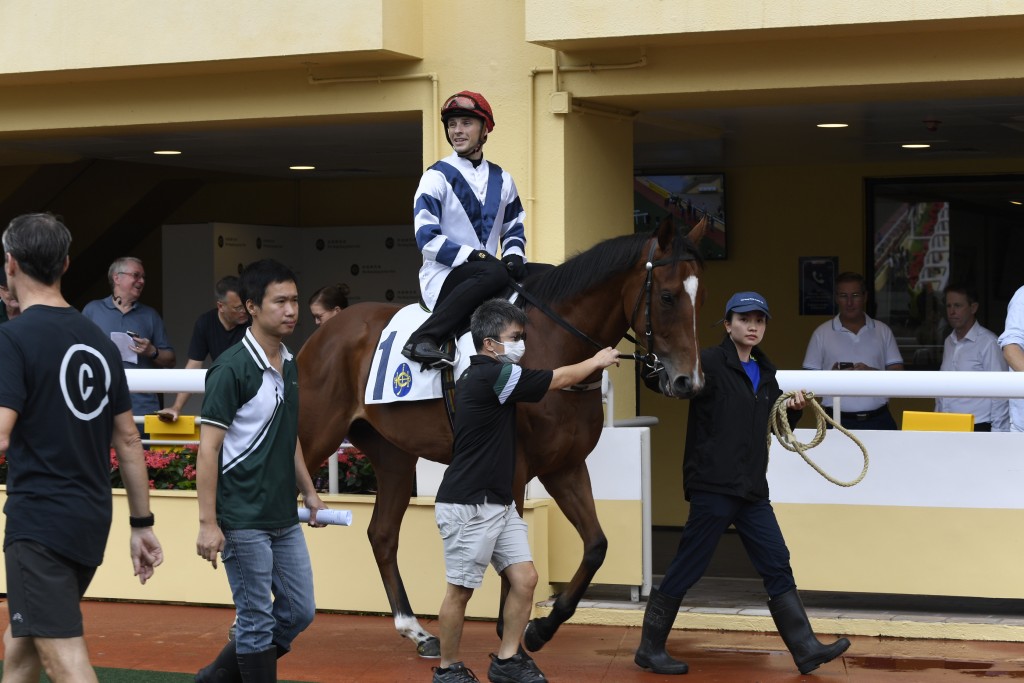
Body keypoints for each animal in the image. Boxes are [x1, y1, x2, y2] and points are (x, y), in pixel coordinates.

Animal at [296, 218, 704, 655]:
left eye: (701, 297)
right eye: (667, 296)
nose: (688, 381)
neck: (553, 344)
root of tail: (323, 333)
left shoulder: (565, 466)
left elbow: (596, 545)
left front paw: (542, 628)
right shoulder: (516, 468)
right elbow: (508, 549)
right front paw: (510, 630)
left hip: (394, 457)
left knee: (382, 535)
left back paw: (416, 630)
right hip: (315, 437)